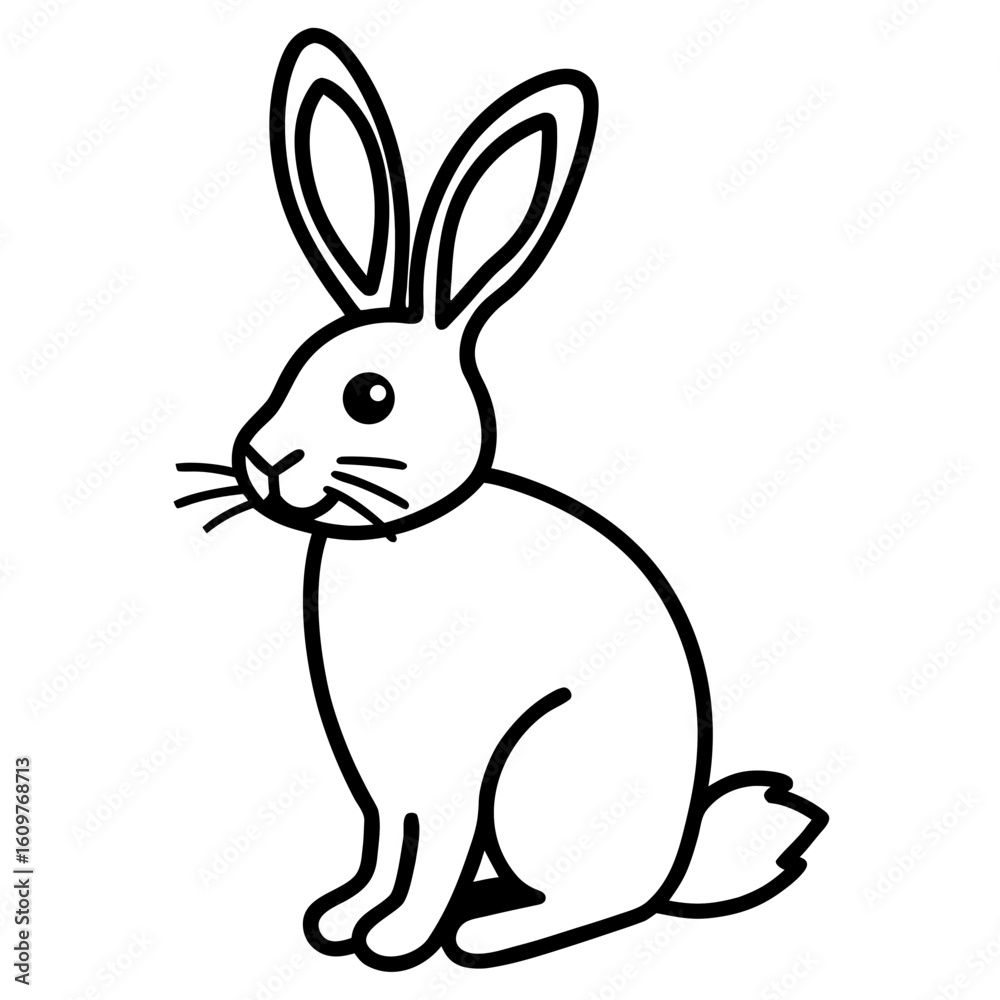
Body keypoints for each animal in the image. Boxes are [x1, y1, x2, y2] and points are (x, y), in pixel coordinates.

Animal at [176, 28, 827, 971]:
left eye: (370, 396)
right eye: (293, 366)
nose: (262, 459)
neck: (403, 529)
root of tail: (677, 862)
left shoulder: (449, 772)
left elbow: (432, 852)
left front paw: (397, 940)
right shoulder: (384, 784)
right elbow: (387, 845)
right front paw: (342, 920)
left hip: (536, 777)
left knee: (598, 901)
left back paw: (487, 931)